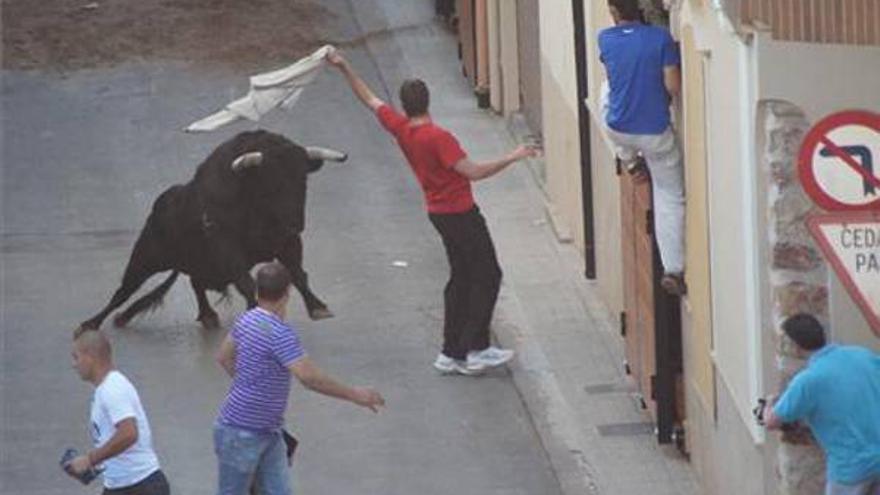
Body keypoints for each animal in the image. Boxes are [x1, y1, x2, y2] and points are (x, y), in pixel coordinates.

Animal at [80, 130, 348, 332]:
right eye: (272, 182)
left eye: (303, 180)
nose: (296, 222)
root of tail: (159, 207)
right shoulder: (228, 247)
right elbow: (247, 282)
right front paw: (254, 311)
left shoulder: (287, 241)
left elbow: (298, 274)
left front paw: (318, 308)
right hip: (145, 258)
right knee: (123, 291)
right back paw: (91, 323)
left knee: (195, 282)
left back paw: (207, 315)